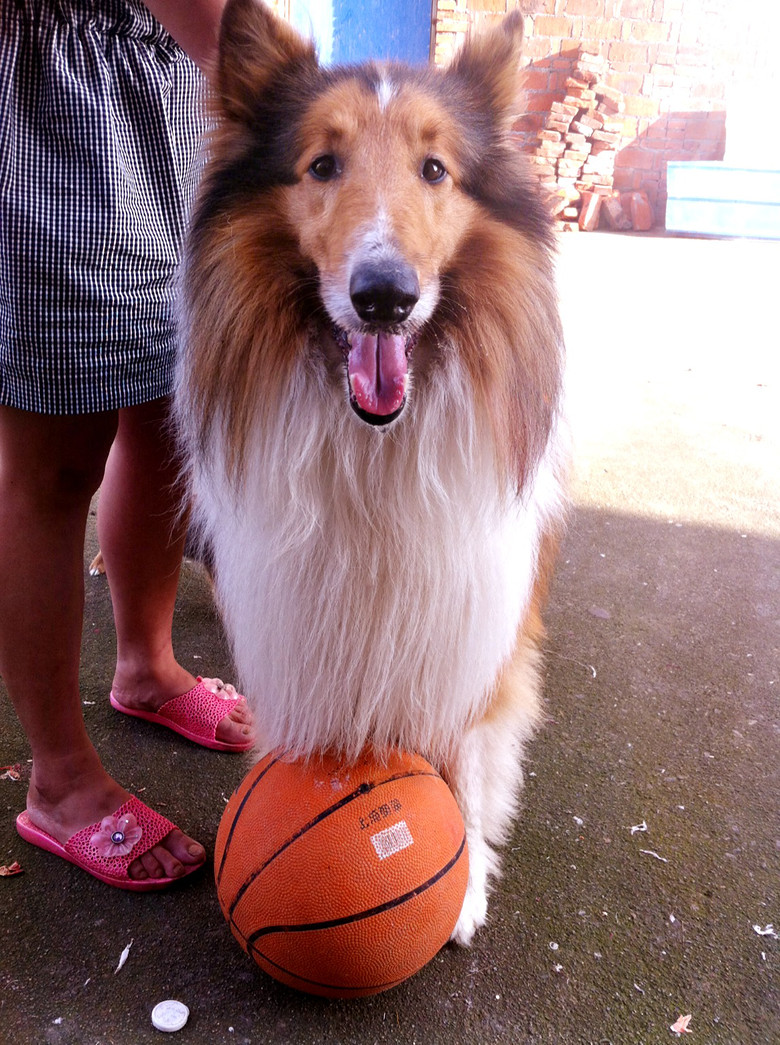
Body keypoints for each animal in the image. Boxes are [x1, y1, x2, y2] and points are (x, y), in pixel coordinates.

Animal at [174, 2, 564, 948]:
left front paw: (463, 889)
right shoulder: (305, 614)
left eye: (435, 169)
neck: (377, 445)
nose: (384, 297)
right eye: (322, 163)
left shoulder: (470, 624)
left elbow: (463, 756)